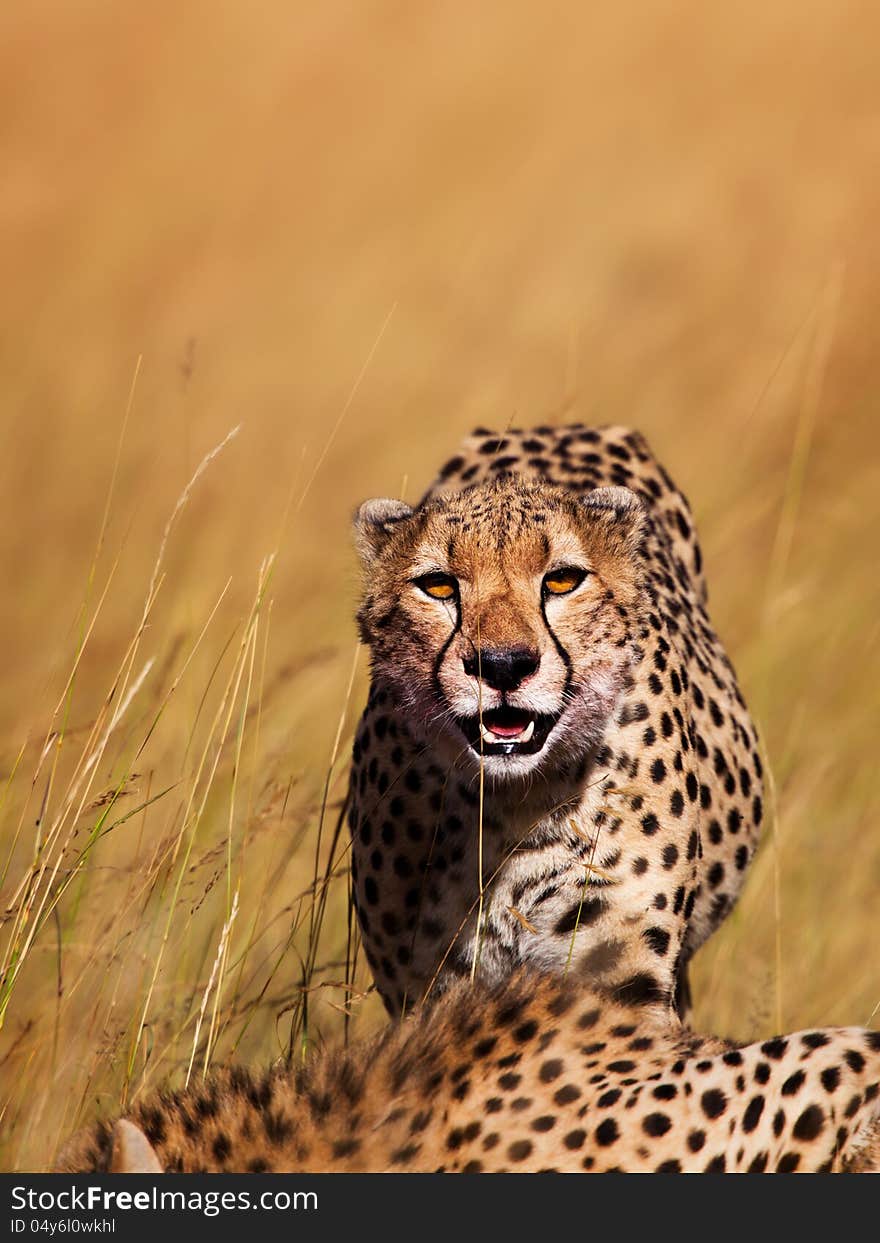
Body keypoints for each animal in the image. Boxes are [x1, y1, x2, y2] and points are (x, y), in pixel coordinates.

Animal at [348, 422, 760, 1014]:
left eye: (563, 580)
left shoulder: (616, 970)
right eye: (439, 586)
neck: (512, 805)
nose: (501, 664)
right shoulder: (425, 992)